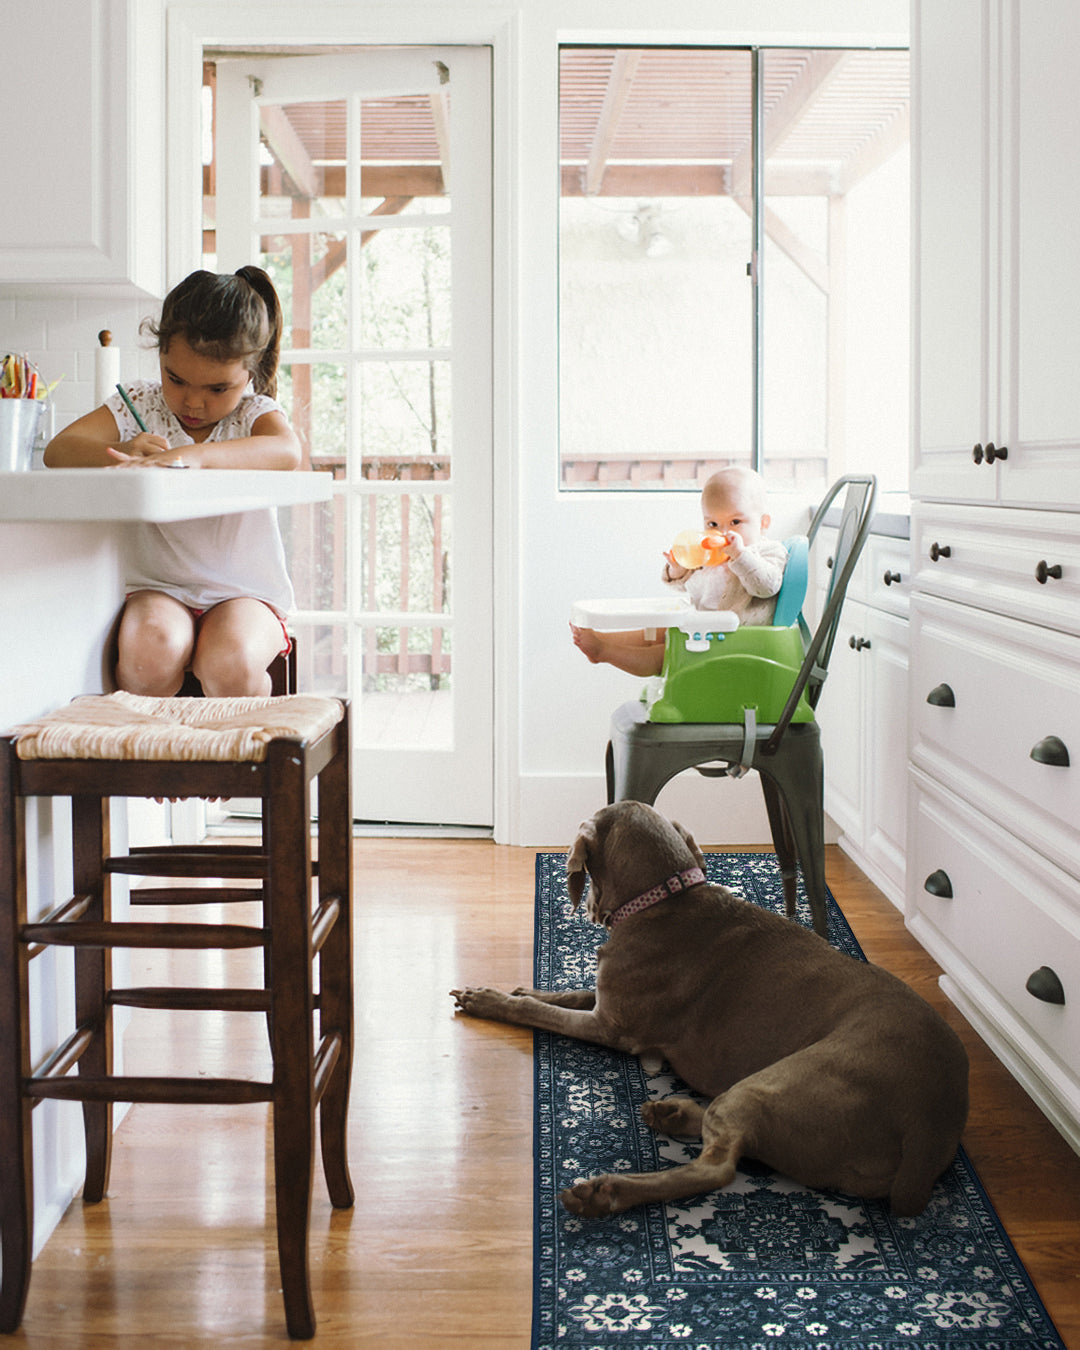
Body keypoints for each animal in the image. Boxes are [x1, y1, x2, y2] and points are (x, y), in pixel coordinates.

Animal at [448, 799, 972, 1225]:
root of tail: (931, 1121)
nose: (588, 909)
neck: (666, 898)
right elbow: (566, 994)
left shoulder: (611, 1026)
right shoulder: (606, 999)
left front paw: (491, 1000)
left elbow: (542, 1012)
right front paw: (517, 986)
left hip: (780, 1081)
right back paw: (671, 1112)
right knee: (736, 1140)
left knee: (718, 1166)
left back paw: (607, 1190)